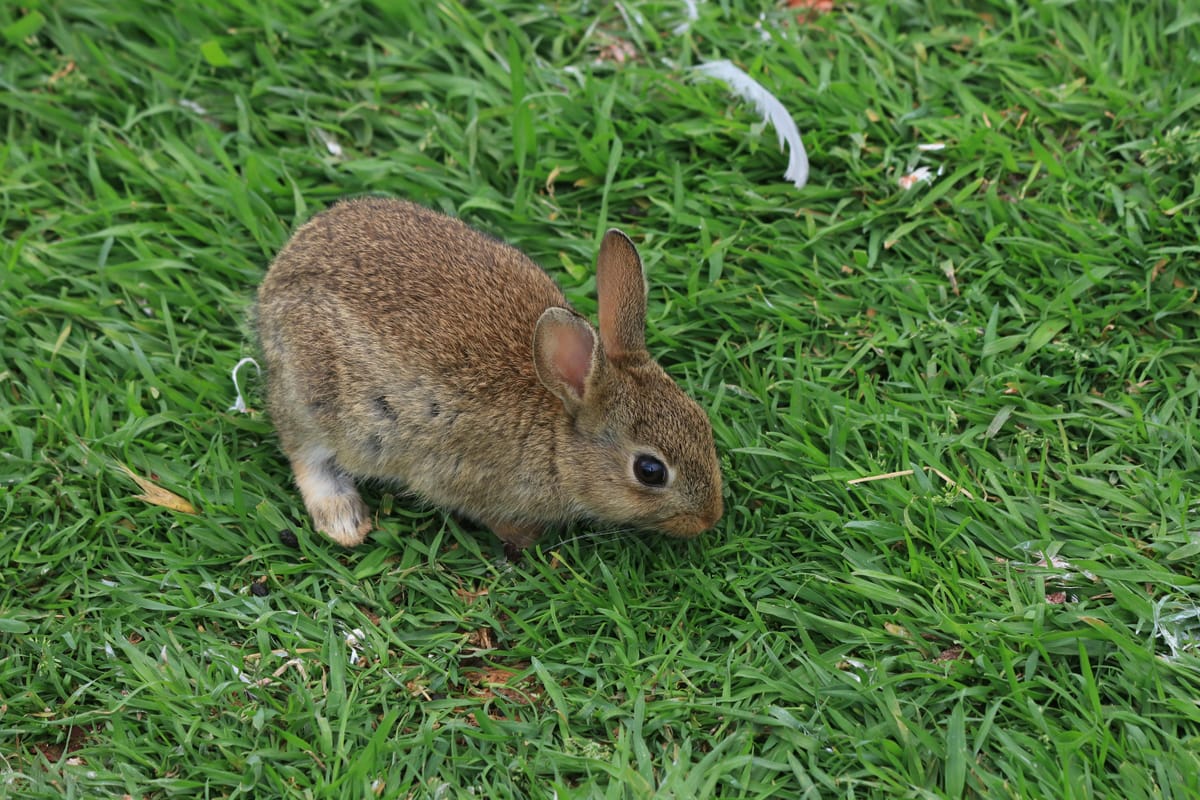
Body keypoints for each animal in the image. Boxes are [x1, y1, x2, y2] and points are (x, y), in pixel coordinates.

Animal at [256, 197, 723, 552]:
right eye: (650, 471)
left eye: (702, 420)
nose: (709, 518)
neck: (558, 440)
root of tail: (278, 277)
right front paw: (526, 539)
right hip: (316, 397)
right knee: (305, 453)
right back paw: (345, 522)